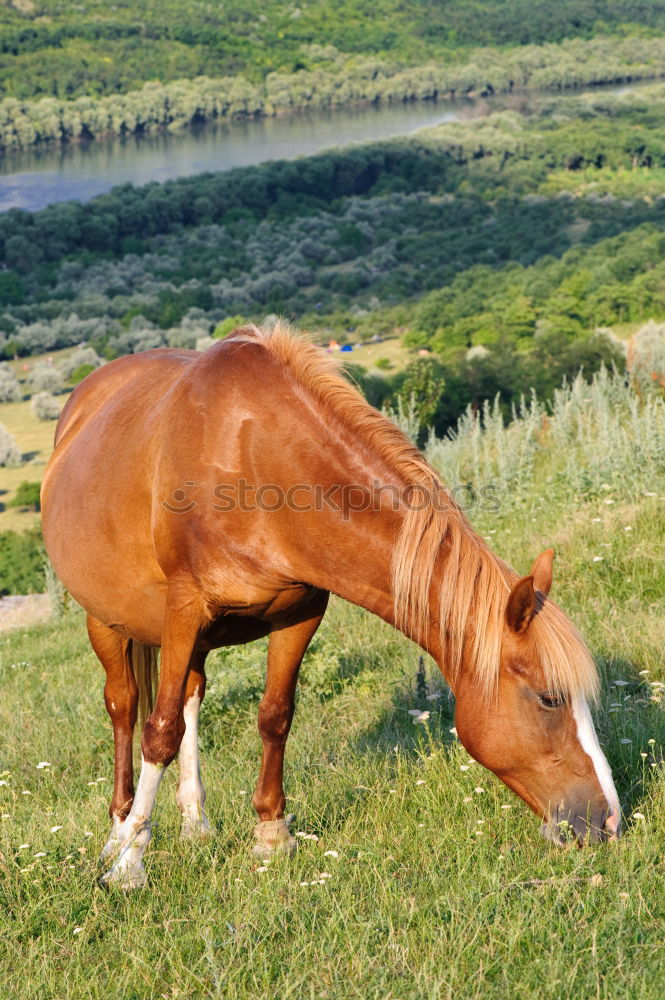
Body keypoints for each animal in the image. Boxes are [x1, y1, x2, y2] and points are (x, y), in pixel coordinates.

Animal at [41, 326, 620, 892]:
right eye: (549, 698)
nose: (608, 820)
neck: (255, 458)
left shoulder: (298, 613)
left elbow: (274, 716)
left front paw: (271, 836)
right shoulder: (185, 608)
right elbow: (157, 732)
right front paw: (130, 866)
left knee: (190, 697)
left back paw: (195, 822)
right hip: (108, 622)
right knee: (125, 709)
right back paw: (119, 831)